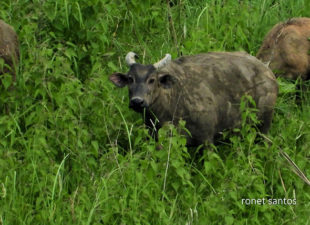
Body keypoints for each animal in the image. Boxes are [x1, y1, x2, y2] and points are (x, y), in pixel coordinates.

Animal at [109, 51, 278, 146]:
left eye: (152, 80)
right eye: (130, 79)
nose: (137, 101)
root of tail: (268, 72)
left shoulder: (207, 138)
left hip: (265, 125)